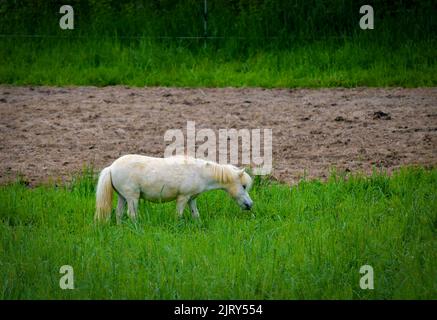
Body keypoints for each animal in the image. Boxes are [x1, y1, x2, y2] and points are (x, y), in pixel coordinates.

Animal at [94, 155, 252, 222]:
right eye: (243, 186)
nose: (250, 205)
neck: (199, 172)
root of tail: (111, 167)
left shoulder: (191, 199)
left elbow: (195, 215)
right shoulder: (183, 198)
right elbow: (179, 215)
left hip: (123, 197)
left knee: (119, 214)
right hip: (132, 197)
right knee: (132, 215)